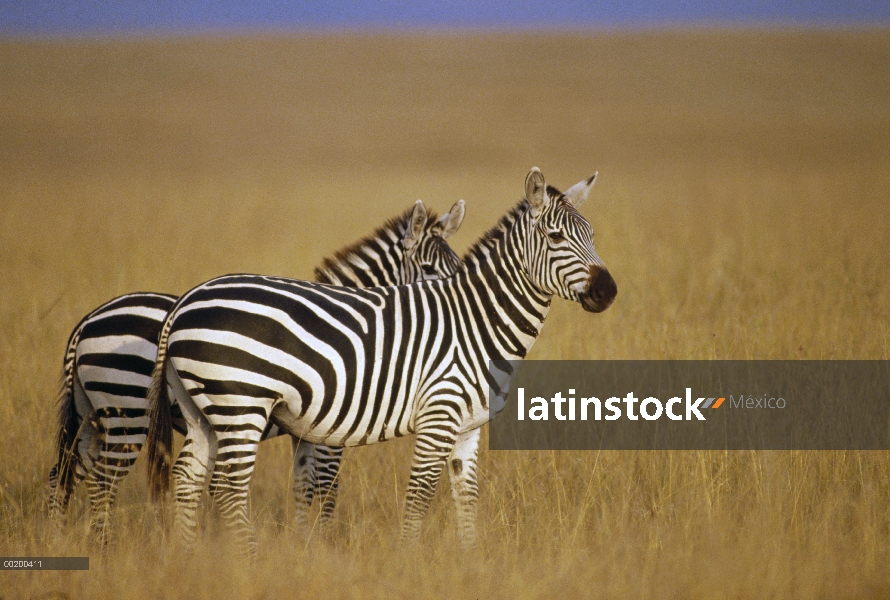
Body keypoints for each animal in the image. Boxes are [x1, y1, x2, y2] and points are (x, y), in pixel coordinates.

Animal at [48, 198, 464, 540]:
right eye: (429, 269)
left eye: (459, 266)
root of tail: (86, 324)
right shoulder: (330, 431)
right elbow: (326, 489)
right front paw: (323, 544)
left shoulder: (306, 432)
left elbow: (303, 486)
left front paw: (303, 544)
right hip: (128, 412)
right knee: (101, 482)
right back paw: (102, 545)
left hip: (92, 417)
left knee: (63, 476)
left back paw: (62, 540)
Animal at [147, 166, 616, 556]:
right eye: (555, 238)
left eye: (592, 235)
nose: (608, 291)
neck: (476, 322)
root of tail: (186, 301)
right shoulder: (432, 417)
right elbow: (415, 495)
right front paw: (404, 562)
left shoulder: (467, 428)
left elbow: (466, 498)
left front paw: (471, 563)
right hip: (240, 404)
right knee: (228, 487)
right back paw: (249, 559)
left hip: (203, 411)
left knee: (188, 478)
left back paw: (190, 556)